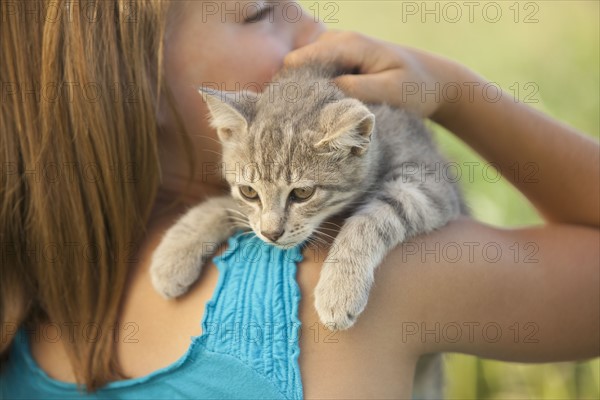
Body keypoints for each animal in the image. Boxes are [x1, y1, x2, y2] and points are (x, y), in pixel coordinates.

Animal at [149, 63, 464, 332]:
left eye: (302, 193)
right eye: (249, 191)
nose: (272, 234)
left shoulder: (430, 184)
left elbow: (372, 219)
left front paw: (339, 287)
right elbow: (227, 207)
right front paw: (174, 254)